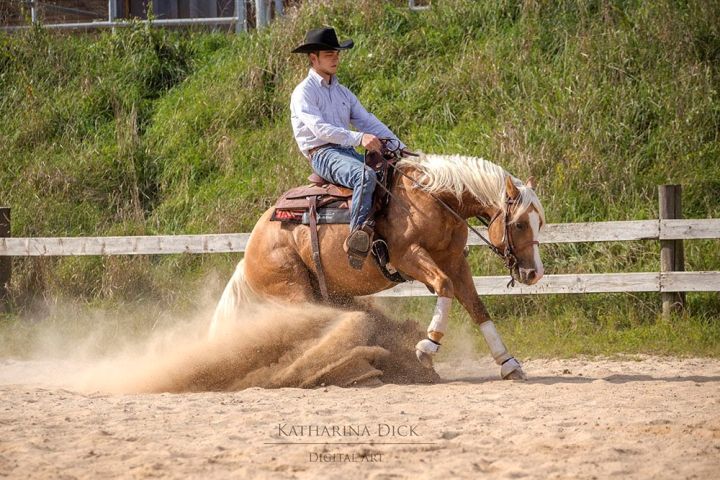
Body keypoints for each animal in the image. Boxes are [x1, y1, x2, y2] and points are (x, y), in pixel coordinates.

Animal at [211, 154, 544, 378]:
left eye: (539, 222)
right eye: (519, 224)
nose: (534, 274)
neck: (432, 197)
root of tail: (250, 249)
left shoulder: (454, 260)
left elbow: (477, 307)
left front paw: (508, 363)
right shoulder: (407, 256)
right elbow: (444, 286)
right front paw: (427, 346)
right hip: (294, 293)